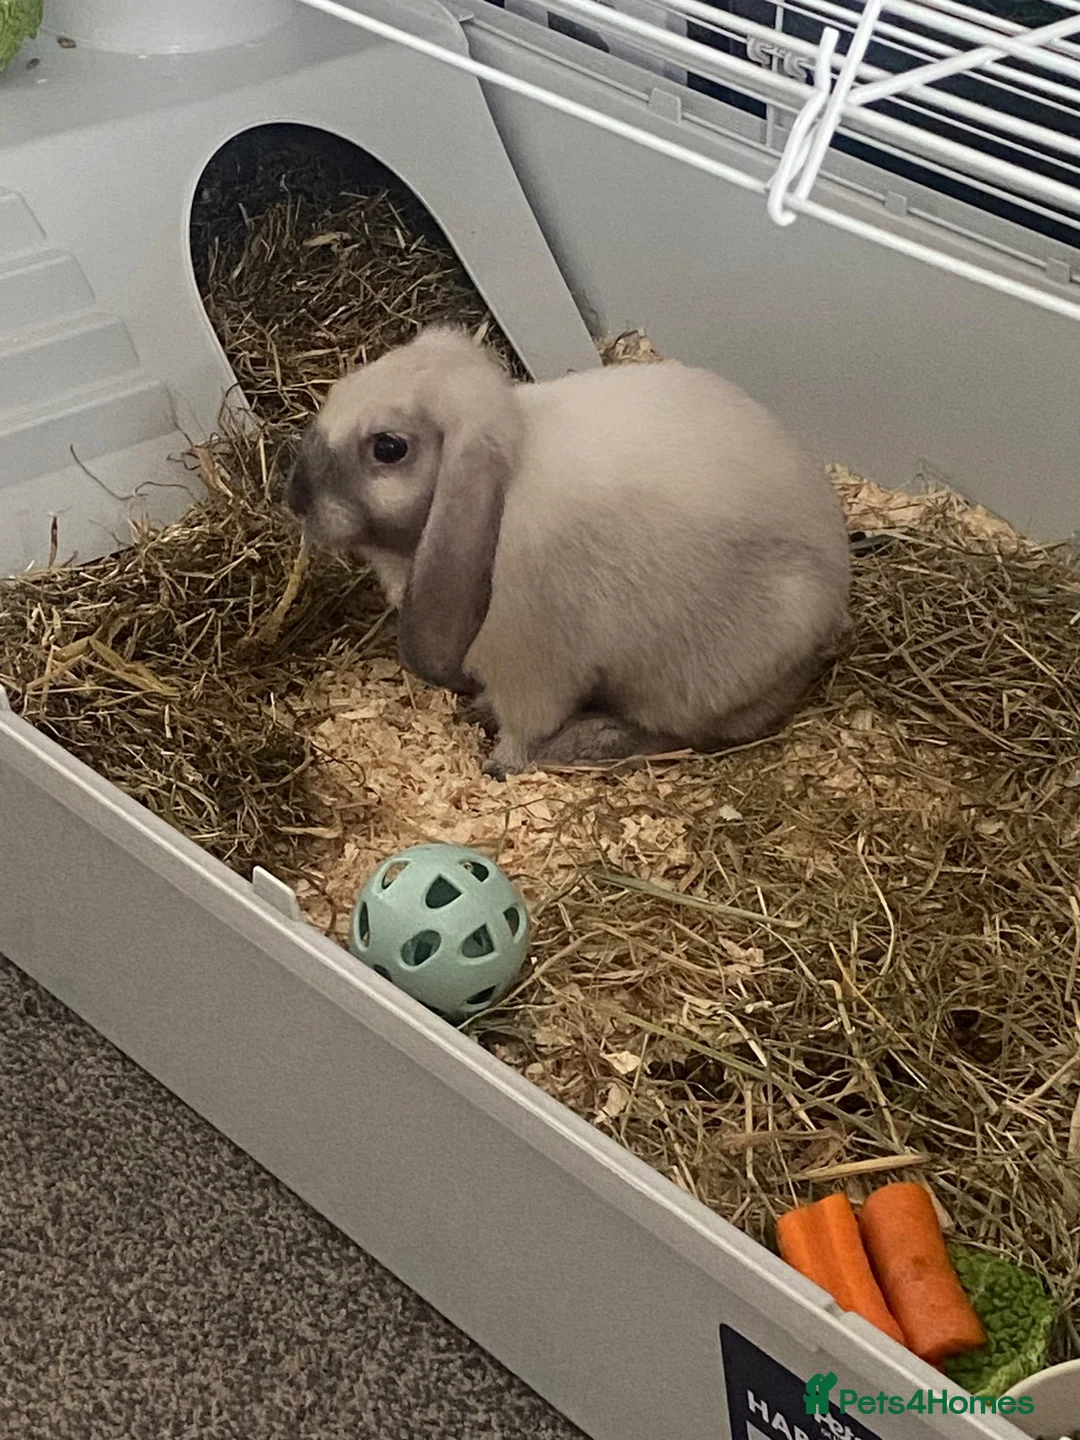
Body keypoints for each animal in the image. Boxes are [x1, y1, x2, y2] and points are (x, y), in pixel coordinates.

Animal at [287, 324, 851, 778]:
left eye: (388, 447)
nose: (294, 498)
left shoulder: (529, 670)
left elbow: (523, 729)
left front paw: (500, 766)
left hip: (688, 684)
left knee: (683, 733)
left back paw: (588, 743)